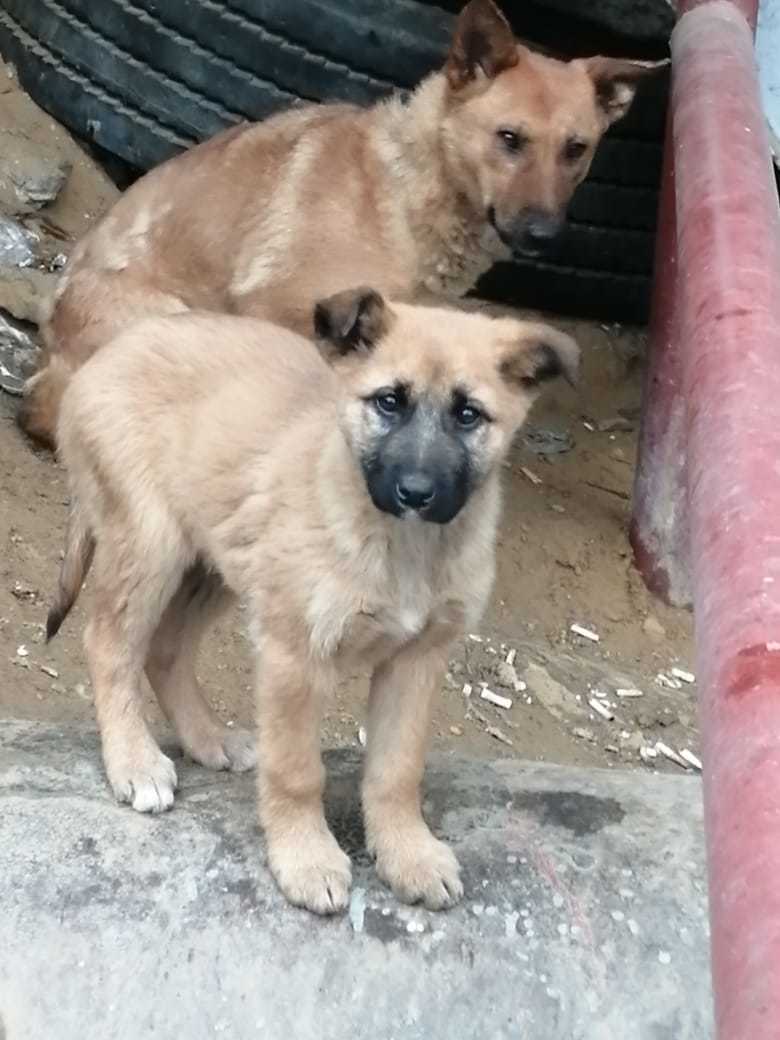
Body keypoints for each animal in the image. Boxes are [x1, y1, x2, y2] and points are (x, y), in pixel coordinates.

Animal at [44, 289, 582, 915]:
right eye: (389, 402)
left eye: (468, 414)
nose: (416, 493)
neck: (402, 547)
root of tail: (109, 351)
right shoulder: (294, 655)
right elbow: (298, 771)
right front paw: (306, 859)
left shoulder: (418, 661)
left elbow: (398, 771)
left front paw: (408, 853)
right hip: (151, 543)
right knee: (109, 643)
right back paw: (134, 760)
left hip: (215, 557)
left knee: (165, 650)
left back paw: (208, 740)